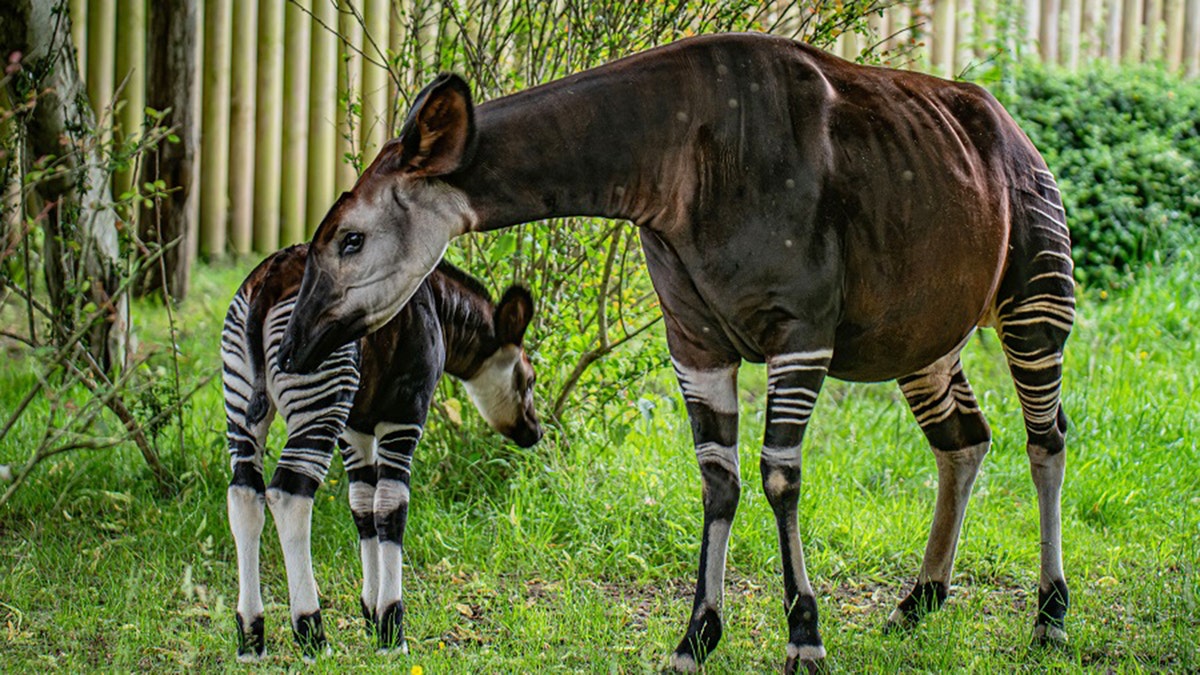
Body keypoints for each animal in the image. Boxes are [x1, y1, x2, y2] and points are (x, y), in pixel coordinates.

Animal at [223, 242, 542, 658]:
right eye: (530, 379)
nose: (535, 431)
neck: (439, 306)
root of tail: (271, 278)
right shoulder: (404, 414)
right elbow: (391, 510)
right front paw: (392, 630)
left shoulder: (356, 426)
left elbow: (363, 508)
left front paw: (371, 616)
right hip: (320, 395)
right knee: (289, 495)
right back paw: (312, 634)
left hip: (242, 400)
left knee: (245, 494)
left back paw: (251, 638)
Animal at [276, 34, 1075, 667]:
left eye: (349, 240)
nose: (291, 348)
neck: (678, 161)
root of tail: (1014, 129)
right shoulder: (695, 341)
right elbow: (719, 482)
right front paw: (696, 637)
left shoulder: (800, 332)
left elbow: (779, 477)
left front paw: (804, 639)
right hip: (924, 336)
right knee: (964, 440)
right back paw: (919, 602)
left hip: (1037, 296)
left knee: (1046, 438)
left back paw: (1049, 618)